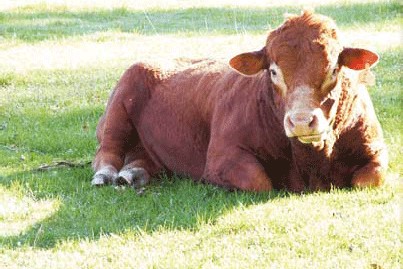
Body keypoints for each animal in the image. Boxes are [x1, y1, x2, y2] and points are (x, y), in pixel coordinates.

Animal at [91, 10, 388, 191]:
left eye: (334, 69)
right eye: (273, 71)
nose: (302, 121)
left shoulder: (376, 151)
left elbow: (371, 178)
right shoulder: (222, 156)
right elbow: (259, 181)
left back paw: (133, 174)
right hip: (118, 109)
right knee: (106, 151)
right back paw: (106, 175)